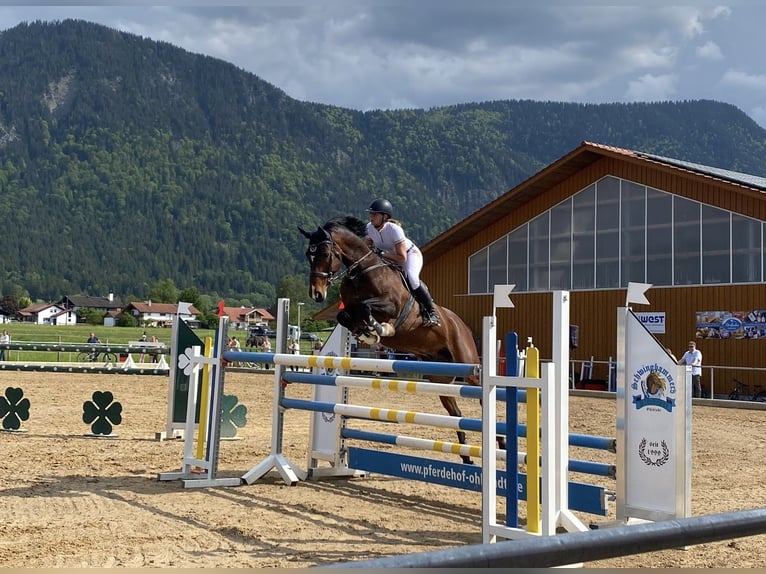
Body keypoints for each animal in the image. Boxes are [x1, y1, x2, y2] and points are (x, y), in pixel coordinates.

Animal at [296, 217, 500, 468]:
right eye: (309, 254)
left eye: (324, 253)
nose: (317, 294)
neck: (361, 272)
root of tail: (461, 324)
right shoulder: (348, 309)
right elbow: (345, 315)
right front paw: (366, 332)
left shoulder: (390, 306)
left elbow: (366, 307)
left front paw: (380, 328)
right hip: (440, 377)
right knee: (456, 413)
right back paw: (466, 456)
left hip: (468, 366)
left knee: (480, 396)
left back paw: (500, 443)